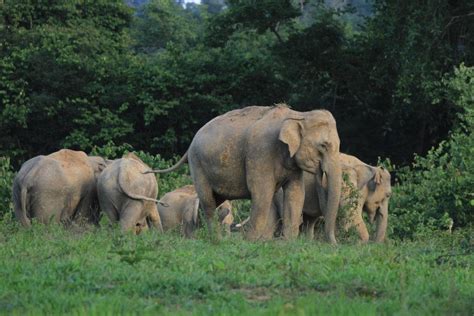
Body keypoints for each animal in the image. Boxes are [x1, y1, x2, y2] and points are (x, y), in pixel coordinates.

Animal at [147, 105, 340, 243]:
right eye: (324, 145)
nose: (334, 245)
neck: (298, 114)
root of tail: (190, 144)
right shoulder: (261, 152)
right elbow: (262, 193)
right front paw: (251, 242)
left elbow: (296, 194)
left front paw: (289, 243)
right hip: (198, 164)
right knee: (208, 201)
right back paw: (215, 240)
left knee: (211, 200)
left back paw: (199, 238)